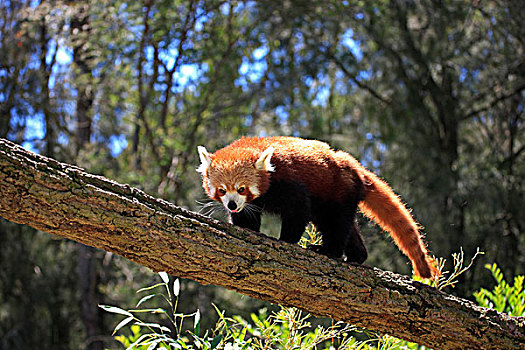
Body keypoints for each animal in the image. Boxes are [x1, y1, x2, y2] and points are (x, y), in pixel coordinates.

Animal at [196, 135, 438, 278]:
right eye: (222, 190)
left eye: (242, 188)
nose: (232, 204)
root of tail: (354, 167)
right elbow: (248, 216)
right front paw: (245, 227)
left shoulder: (287, 182)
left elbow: (297, 211)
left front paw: (286, 241)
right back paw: (357, 256)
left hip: (337, 192)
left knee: (336, 225)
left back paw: (329, 251)